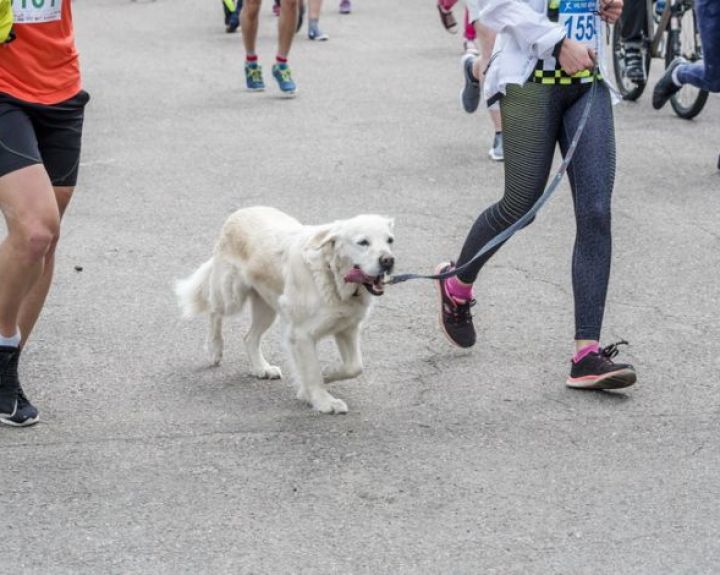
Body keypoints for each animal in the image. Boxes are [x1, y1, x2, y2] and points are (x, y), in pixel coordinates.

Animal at [176, 207, 396, 414]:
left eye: (389, 240)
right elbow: (312, 372)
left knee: (249, 337)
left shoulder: (346, 328)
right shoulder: (302, 334)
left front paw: (327, 374)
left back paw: (262, 368)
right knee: (214, 311)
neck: (331, 275)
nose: (388, 260)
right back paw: (214, 349)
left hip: (267, 308)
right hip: (231, 296)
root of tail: (241, 211)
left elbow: (354, 367)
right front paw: (323, 401)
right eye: (363, 242)